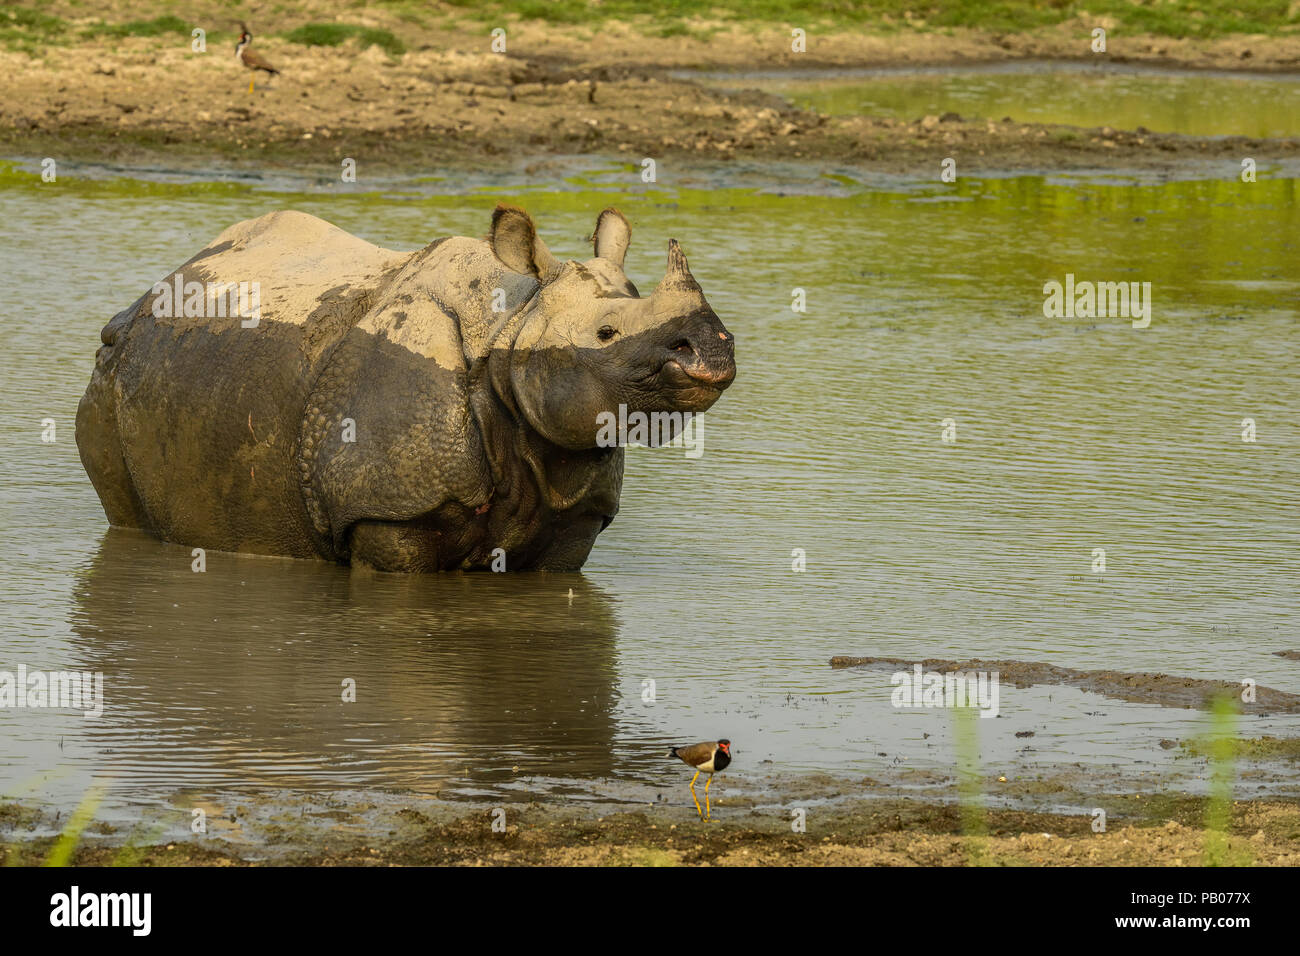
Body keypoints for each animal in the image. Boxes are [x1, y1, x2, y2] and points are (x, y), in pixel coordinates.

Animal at [75, 205, 736, 571]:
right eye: (605, 332)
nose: (714, 350)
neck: (512, 322)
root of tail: (154, 290)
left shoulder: (576, 516)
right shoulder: (386, 513)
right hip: (111, 375)